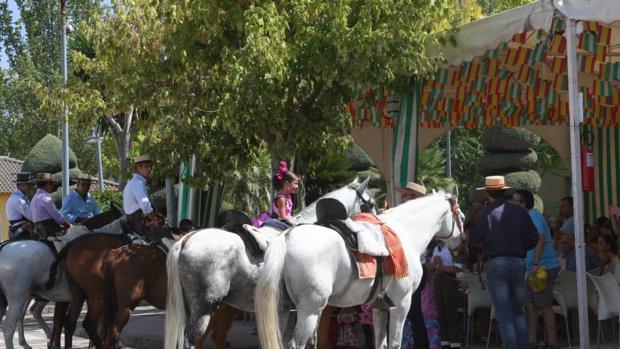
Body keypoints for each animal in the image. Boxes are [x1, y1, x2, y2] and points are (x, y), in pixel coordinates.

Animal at [254, 190, 462, 348]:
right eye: (460, 216)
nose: (461, 247)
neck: (405, 234)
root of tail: (288, 236)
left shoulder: (380, 307)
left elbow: (381, 343)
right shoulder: (402, 304)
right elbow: (395, 343)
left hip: (282, 310)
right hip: (309, 311)